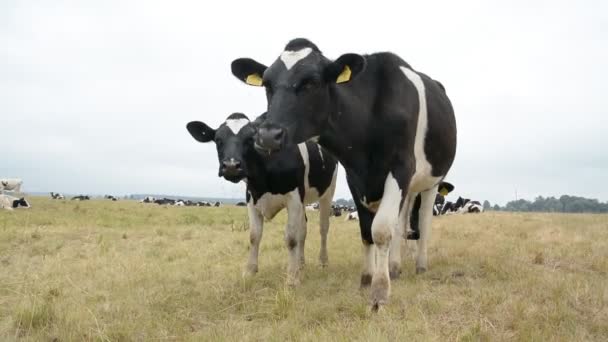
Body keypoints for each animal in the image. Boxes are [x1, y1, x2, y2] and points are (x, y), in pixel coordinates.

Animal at [185, 113, 338, 286]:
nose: (231, 166)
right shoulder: (252, 198)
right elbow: (254, 236)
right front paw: (250, 271)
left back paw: (322, 261)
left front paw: (292, 278)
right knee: (303, 229)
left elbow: (291, 238)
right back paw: (301, 263)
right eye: (218, 140)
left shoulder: (294, 198)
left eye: (250, 139)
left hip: (328, 192)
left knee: (323, 228)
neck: (263, 179)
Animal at [232, 38, 456, 308]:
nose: (267, 136)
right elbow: (367, 232)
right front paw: (368, 278)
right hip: (408, 188)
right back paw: (394, 267)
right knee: (401, 222)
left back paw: (420, 265)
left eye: (311, 82)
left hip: (431, 181)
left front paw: (380, 293)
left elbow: (381, 230)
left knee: (422, 220)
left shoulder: (400, 168)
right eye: (267, 84)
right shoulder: (354, 176)